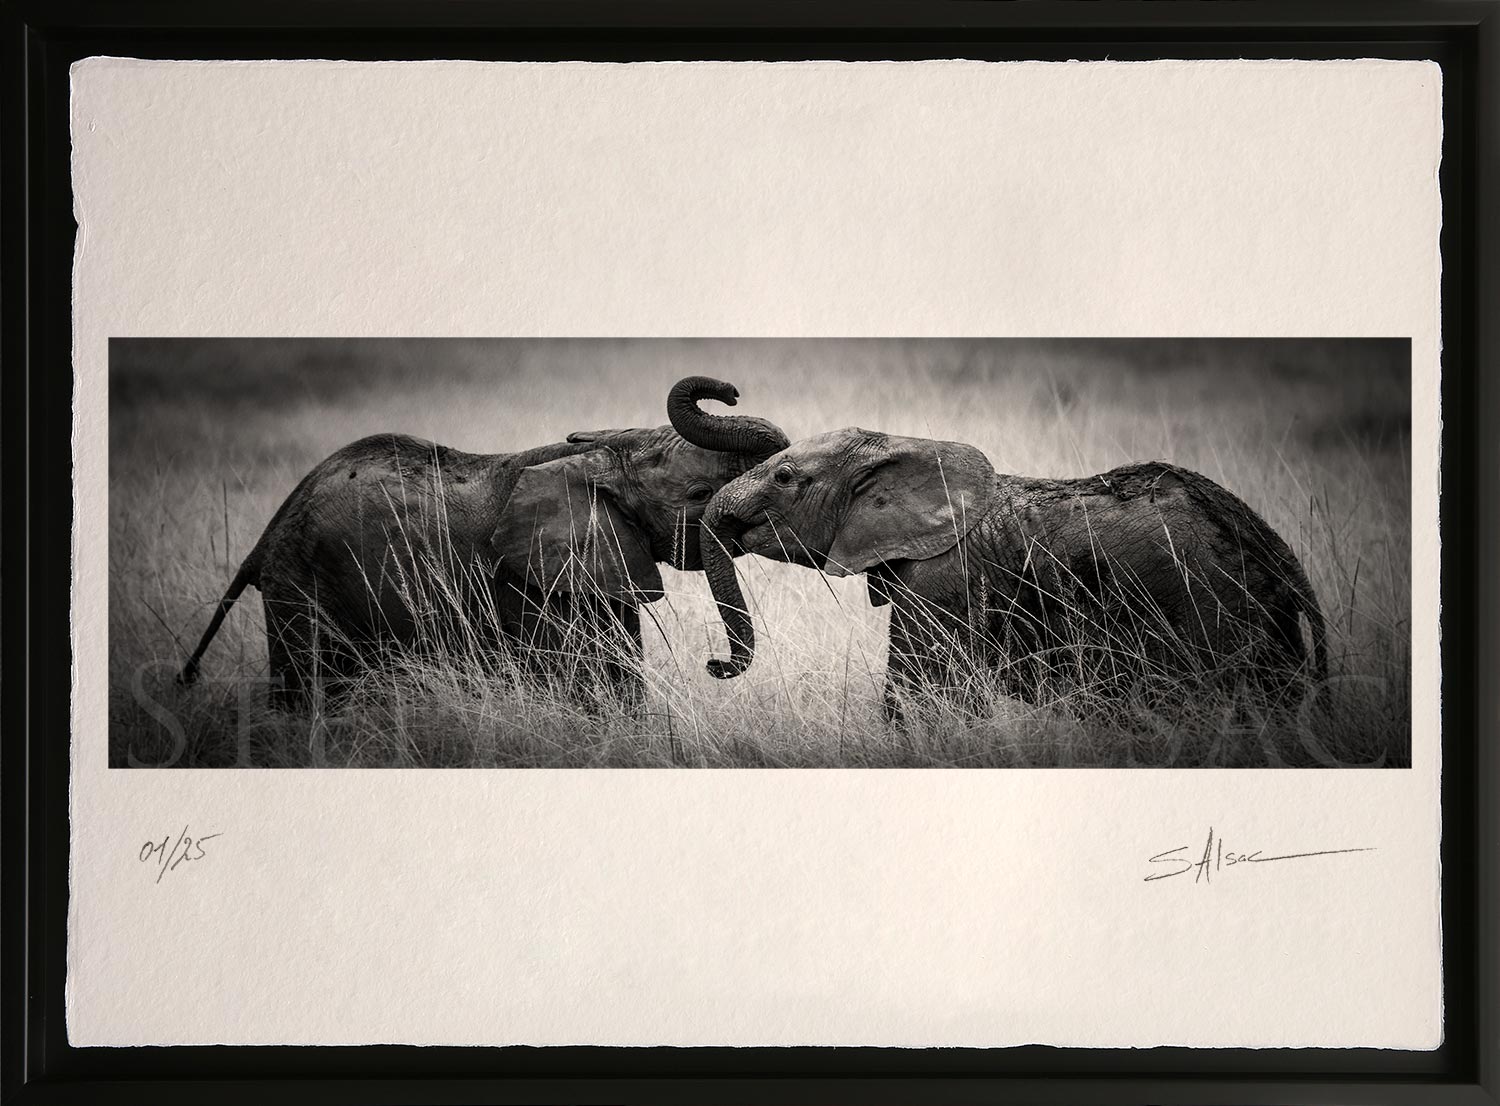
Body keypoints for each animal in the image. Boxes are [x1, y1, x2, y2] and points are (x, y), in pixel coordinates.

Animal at [177, 376, 789, 708]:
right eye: (699, 494)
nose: (713, 664)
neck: (596, 455)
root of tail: (265, 538)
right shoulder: (527, 580)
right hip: (300, 585)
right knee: (306, 688)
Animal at [698, 428, 1328, 722]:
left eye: (784, 477)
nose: (713, 665)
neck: (903, 443)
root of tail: (1278, 552)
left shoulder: (943, 583)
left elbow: (925, 697)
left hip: (1215, 611)